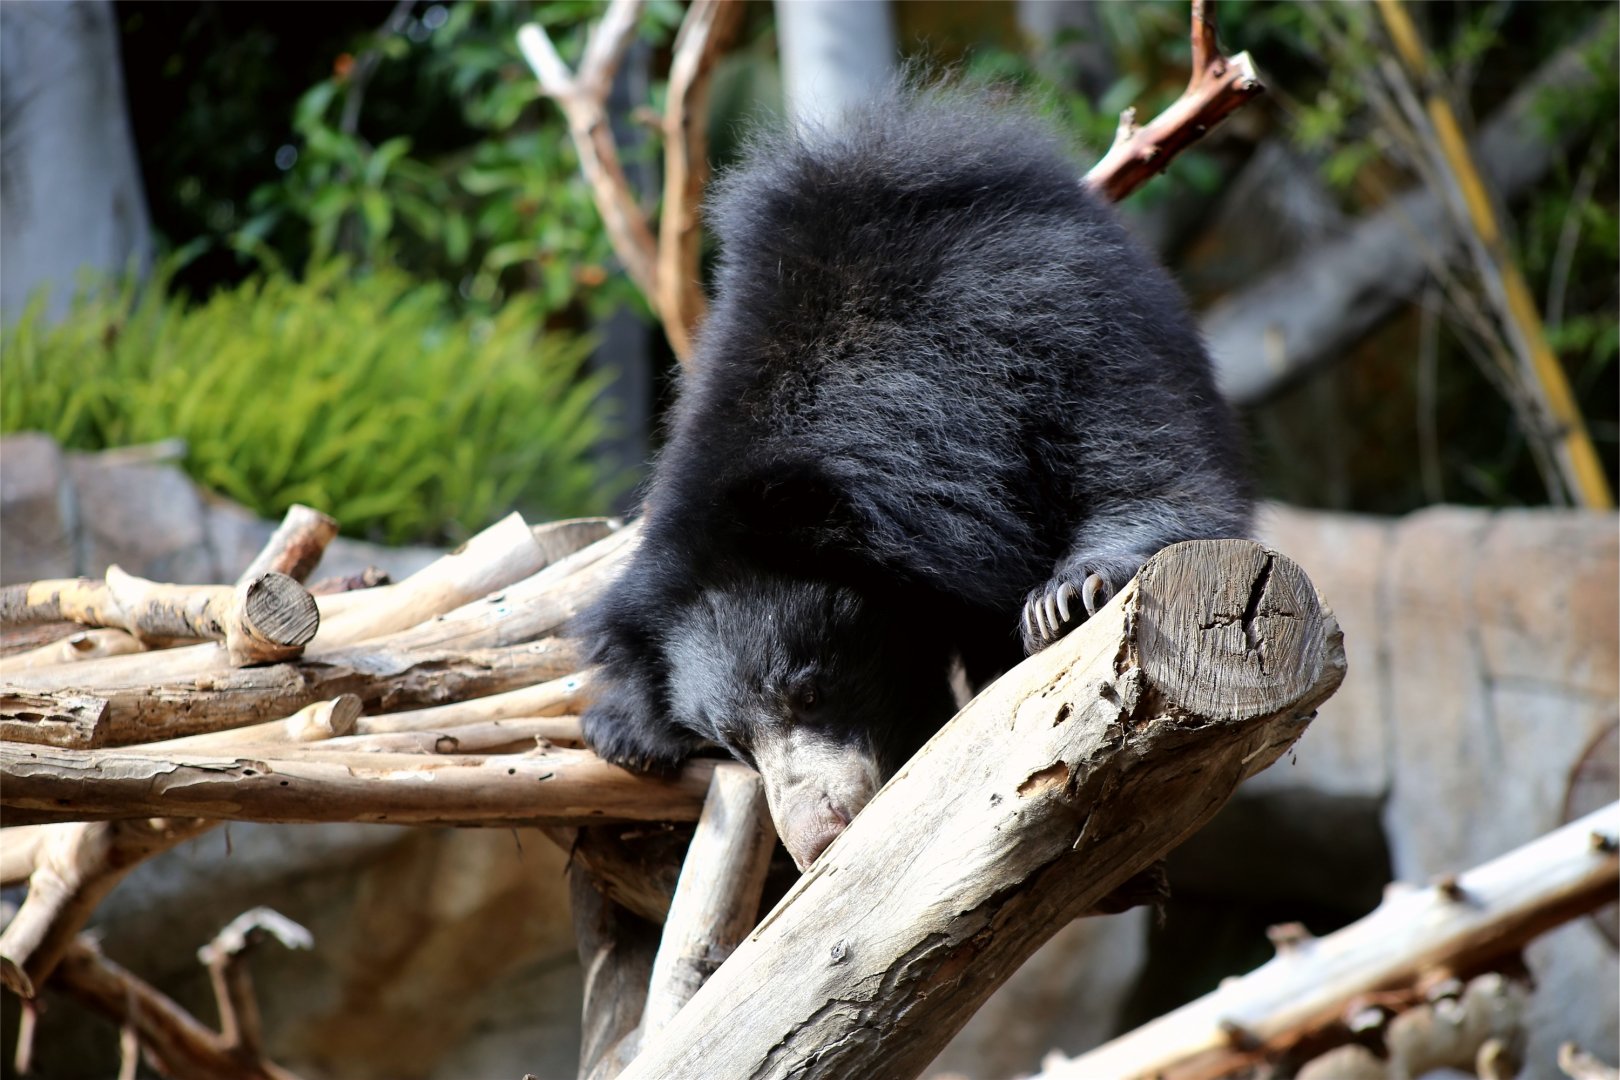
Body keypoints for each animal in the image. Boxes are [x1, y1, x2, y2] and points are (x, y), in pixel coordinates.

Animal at [576, 89, 1253, 870]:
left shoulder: (1052, 324)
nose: (817, 838)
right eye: (734, 743)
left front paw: (1066, 598)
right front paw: (620, 728)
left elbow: (1149, 464)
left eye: (811, 694)